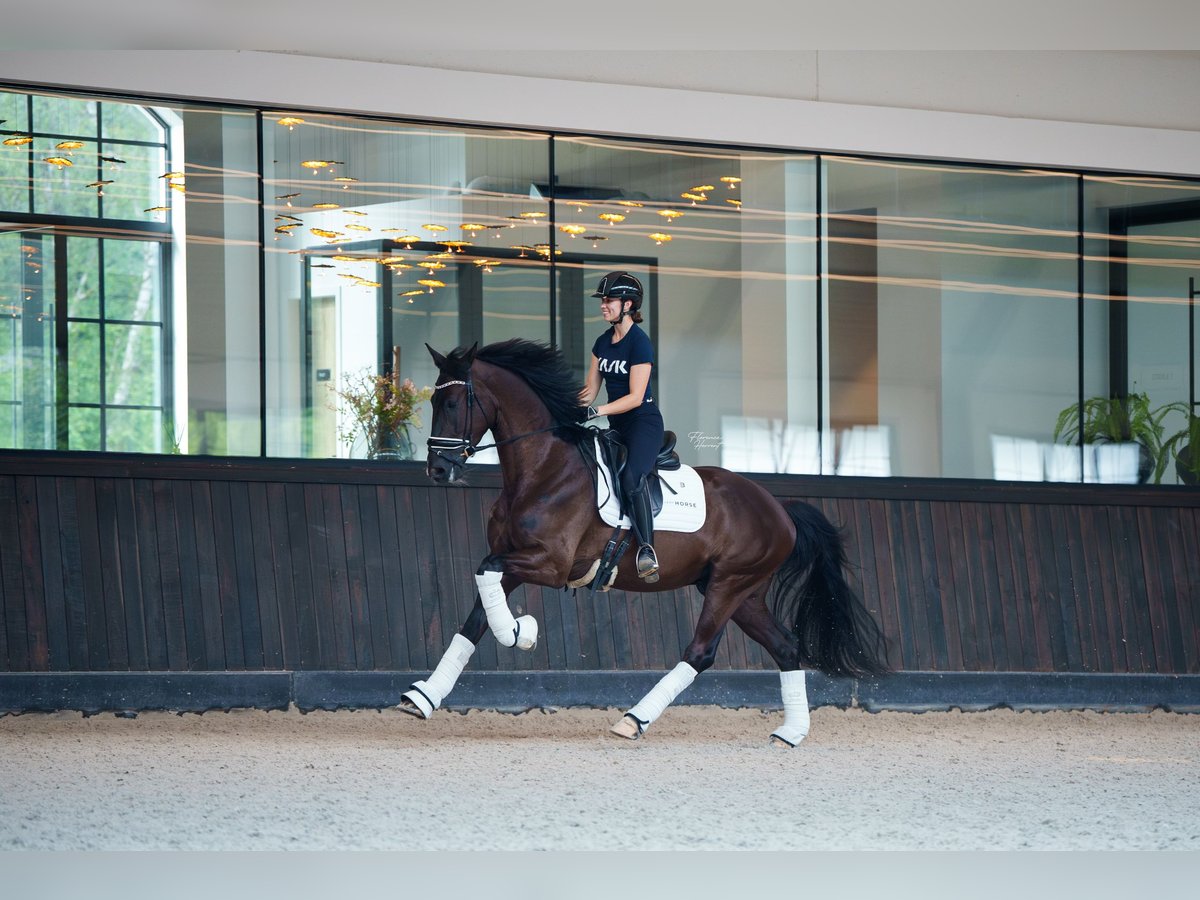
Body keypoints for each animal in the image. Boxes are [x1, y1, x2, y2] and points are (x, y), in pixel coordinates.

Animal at [398, 338, 888, 748]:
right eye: (433, 399)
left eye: (454, 401)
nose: (437, 469)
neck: (543, 469)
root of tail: (780, 510)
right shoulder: (516, 561)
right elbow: (475, 617)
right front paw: (423, 696)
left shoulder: (550, 565)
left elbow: (485, 575)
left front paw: (522, 633)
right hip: (744, 593)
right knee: (786, 647)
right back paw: (790, 734)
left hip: (729, 584)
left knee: (700, 652)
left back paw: (633, 720)